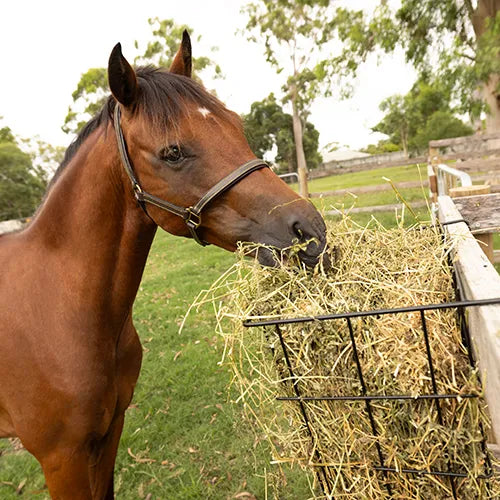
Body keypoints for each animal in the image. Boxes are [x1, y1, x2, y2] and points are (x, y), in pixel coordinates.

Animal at [0, 32, 328, 500]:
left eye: (236, 125)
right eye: (172, 153)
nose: (310, 232)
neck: (58, 306)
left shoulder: (111, 431)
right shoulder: (62, 459)